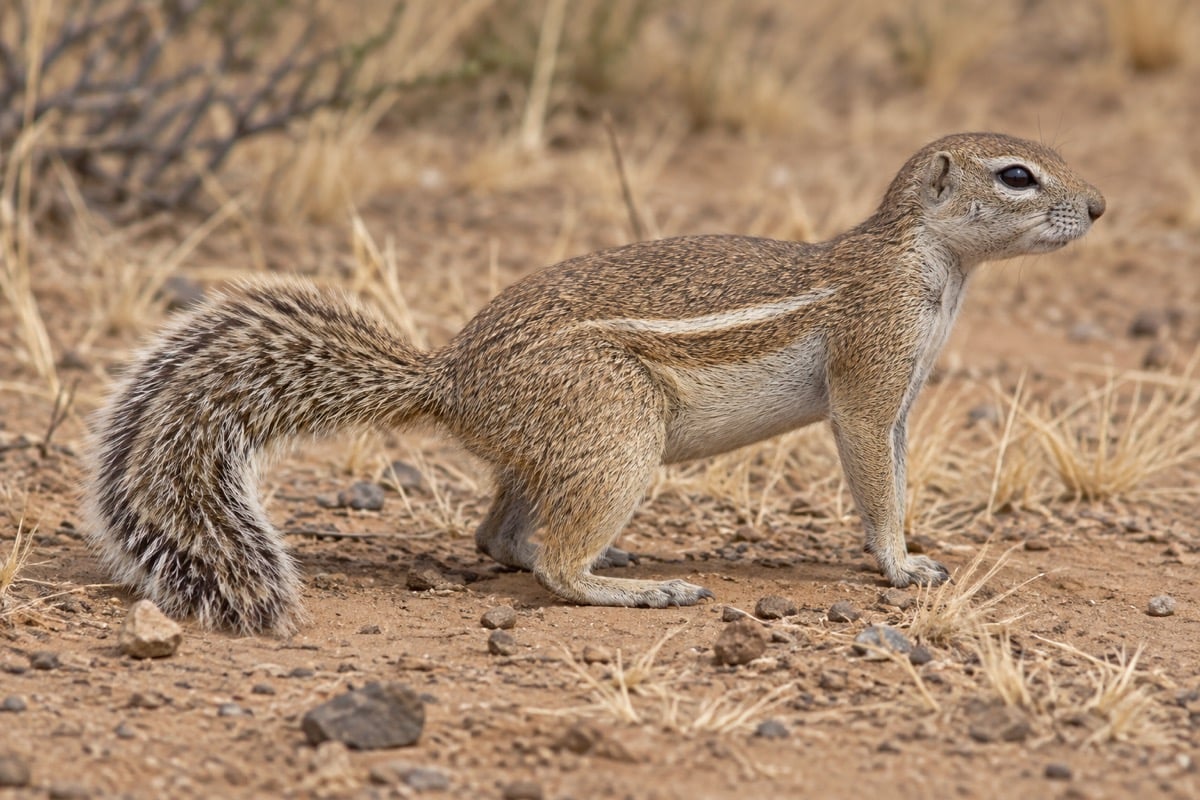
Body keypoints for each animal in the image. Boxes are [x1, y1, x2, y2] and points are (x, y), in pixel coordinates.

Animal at [83, 132, 1105, 635]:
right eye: (1019, 176)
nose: (1097, 205)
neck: (929, 260)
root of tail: (452, 381)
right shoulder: (871, 369)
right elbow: (870, 475)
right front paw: (899, 564)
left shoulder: (903, 395)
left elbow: (895, 467)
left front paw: (916, 550)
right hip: (617, 431)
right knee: (551, 565)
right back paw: (638, 591)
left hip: (565, 445)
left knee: (500, 537)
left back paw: (608, 557)